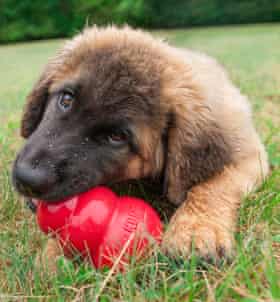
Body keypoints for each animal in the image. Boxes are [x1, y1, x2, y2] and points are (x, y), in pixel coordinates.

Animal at [12, 26, 270, 266]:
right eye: (66, 99)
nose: (27, 179)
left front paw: (196, 229)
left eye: (117, 137)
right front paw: (53, 252)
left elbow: (214, 185)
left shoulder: (250, 155)